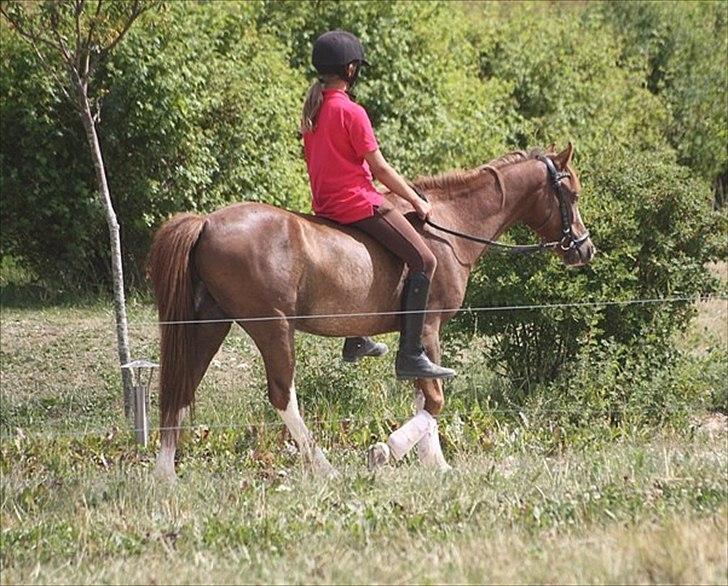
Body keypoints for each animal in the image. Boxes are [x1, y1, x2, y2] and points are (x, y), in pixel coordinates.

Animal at [148, 143, 595, 480]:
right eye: (571, 194)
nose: (585, 248)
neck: (449, 228)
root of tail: (207, 222)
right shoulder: (428, 327)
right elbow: (434, 399)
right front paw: (390, 450)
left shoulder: (417, 339)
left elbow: (422, 395)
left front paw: (435, 464)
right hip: (273, 328)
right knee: (281, 396)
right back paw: (324, 467)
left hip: (211, 323)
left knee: (182, 386)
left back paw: (165, 475)